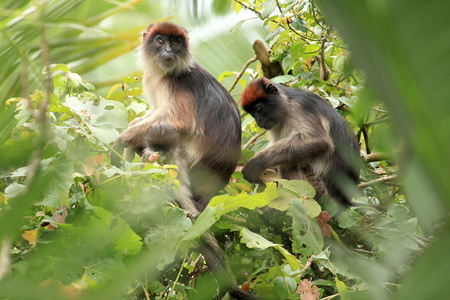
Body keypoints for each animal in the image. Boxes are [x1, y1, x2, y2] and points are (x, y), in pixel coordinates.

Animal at [111, 23, 255, 300]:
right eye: (161, 41)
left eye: (176, 43)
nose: (169, 51)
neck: (166, 73)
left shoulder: (176, 86)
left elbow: (179, 122)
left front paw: (122, 138)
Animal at [241, 77, 360, 205]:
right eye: (253, 114)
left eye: (259, 109)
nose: (258, 120)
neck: (286, 104)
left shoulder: (298, 107)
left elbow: (319, 141)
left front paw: (258, 161)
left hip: (318, 189)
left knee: (287, 165)